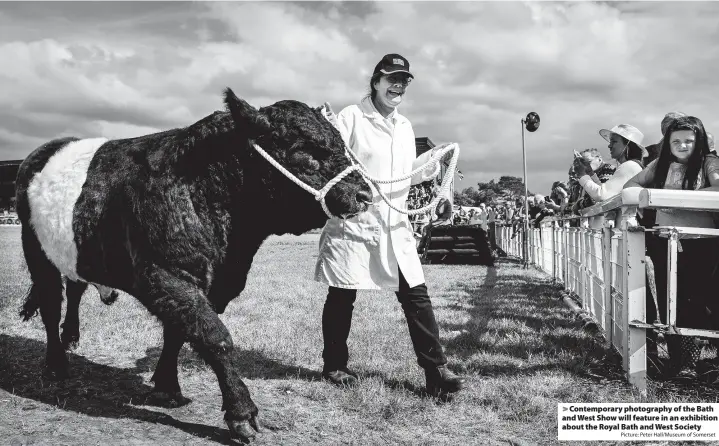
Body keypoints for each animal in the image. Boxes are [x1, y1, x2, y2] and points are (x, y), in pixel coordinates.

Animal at [14, 88, 374, 442]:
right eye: (304, 151)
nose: (365, 194)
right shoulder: (164, 274)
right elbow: (215, 336)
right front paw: (241, 414)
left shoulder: (215, 282)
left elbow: (180, 332)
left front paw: (166, 387)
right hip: (35, 248)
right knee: (50, 302)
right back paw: (56, 364)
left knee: (74, 288)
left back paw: (71, 338)